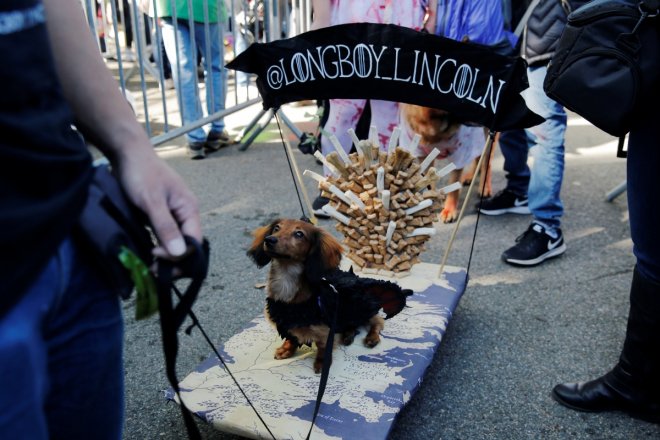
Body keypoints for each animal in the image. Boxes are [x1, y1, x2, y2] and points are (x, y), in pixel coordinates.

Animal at [249, 218, 412, 372]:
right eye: (276, 228)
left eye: (299, 234)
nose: (269, 239)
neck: (286, 278)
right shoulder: (287, 322)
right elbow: (291, 338)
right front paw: (286, 349)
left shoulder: (325, 330)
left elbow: (323, 348)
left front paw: (322, 363)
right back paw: (348, 335)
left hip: (363, 306)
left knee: (377, 321)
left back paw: (372, 337)